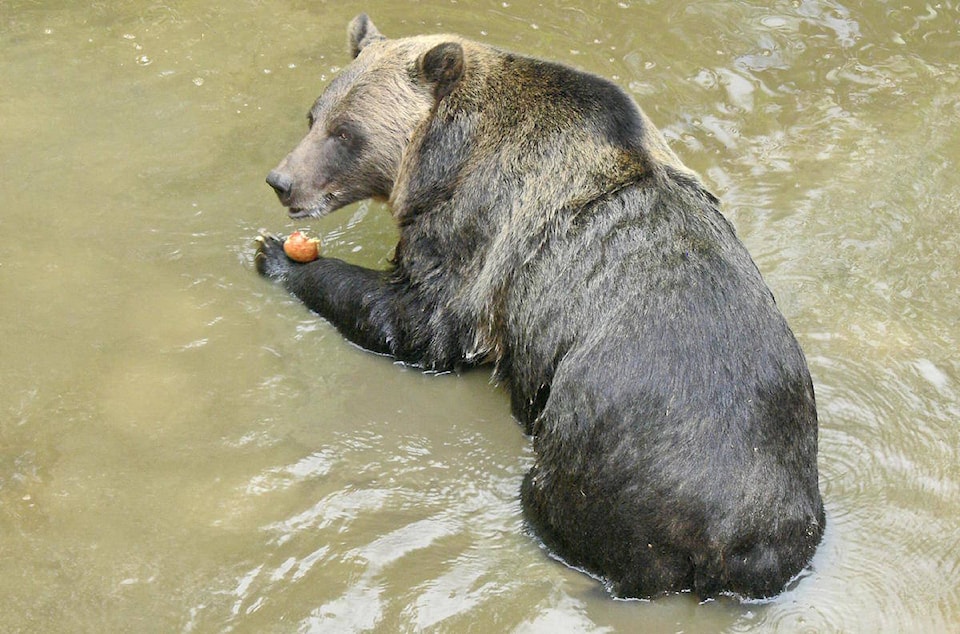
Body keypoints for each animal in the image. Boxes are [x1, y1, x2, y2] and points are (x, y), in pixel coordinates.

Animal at [256, 13, 824, 596]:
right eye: (314, 117)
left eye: (346, 133)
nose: (282, 181)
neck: (447, 157)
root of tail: (730, 537)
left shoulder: (475, 233)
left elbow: (419, 321)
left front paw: (279, 255)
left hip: (604, 453)